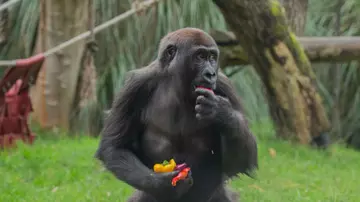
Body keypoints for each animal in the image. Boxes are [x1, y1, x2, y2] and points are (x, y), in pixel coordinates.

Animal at [95, 27, 258, 201]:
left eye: (213, 57)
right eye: (200, 56)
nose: (211, 74)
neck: (176, 82)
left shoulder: (225, 86)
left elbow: (239, 162)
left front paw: (222, 113)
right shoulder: (135, 86)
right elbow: (115, 147)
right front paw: (163, 185)